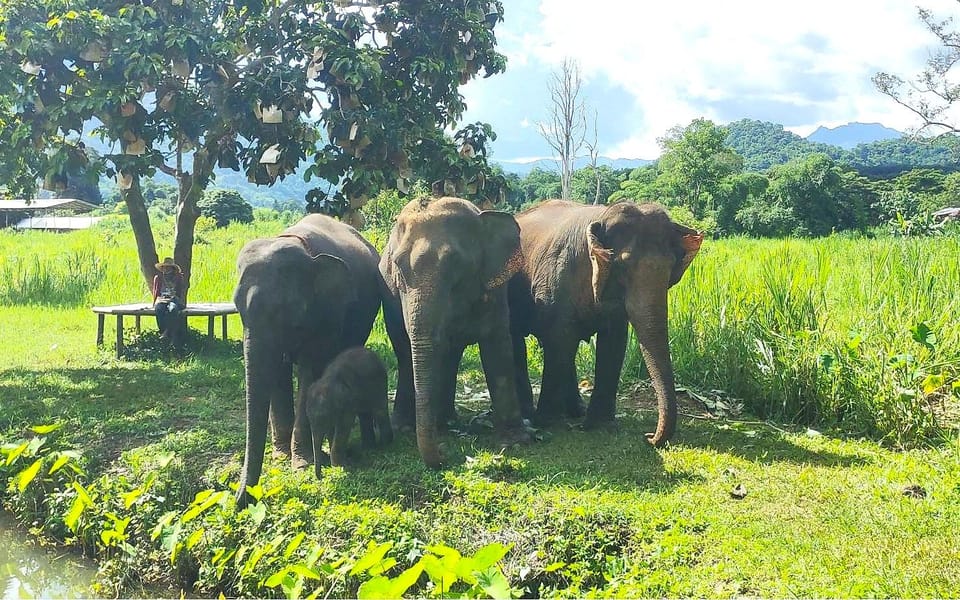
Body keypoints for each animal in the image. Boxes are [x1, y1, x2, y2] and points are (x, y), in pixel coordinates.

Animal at [232, 216, 382, 506]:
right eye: (237, 308)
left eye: (284, 309)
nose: (241, 501)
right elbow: (277, 372)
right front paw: (281, 458)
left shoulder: (327, 310)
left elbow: (309, 370)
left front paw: (301, 465)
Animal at [306, 346, 392, 478]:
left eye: (323, 418)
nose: (321, 477)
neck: (327, 380)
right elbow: (332, 430)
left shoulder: (347, 403)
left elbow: (344, 426)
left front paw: (339, 467)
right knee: (365, 415)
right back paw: (369, 448)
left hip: (380, 382)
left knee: (379, 411)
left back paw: (385, 445)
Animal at [382, 197, 528, 468]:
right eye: (398, 267)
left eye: (456, 265)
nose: (444, 453)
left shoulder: (494, 289)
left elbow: (497, 348)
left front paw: (515, 442)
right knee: (406, 354)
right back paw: (409, 427)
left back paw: (446, 421)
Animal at [506, 202, 700, 446]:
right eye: (622, 265)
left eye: (671, 266)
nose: (648, 437)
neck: (602, 214)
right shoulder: (555, 284)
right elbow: (559, 340)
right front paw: (547, 422)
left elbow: (614, 343)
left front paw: (600, 426)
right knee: (522, 342)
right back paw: (532, 415)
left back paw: (576, 412)